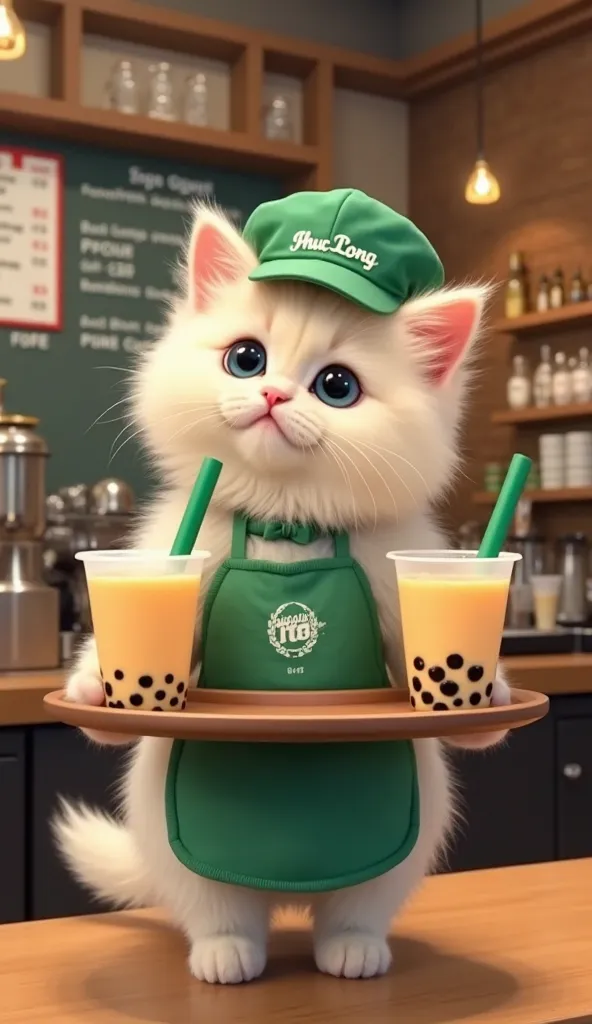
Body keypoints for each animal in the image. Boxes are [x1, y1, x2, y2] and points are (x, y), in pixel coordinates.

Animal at [55, 201, 508, 983]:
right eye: (246, 358)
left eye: (337, 385)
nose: (271, 394)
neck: (285, 523)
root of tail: (288, 897)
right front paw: (94, 688)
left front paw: (486, 700)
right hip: (181, 850)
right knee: (219, 913)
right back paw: (226, 956)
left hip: (404, 845)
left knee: (353, 911)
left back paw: (352, 951)